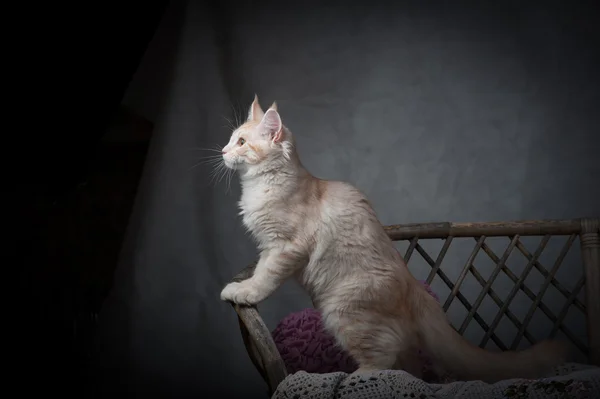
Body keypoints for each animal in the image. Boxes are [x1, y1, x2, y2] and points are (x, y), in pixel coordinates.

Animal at [217, 95, 568, 382]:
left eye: (242, 142)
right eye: (232, 140)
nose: (222, 151)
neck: (264, 185)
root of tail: (414, 286)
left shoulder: (284, 247)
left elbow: (264, 278)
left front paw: (243, 292)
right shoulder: (269, 247)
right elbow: (259, 270)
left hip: (343, 311)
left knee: (384, 360)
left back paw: (355, 378)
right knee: (409, 367)